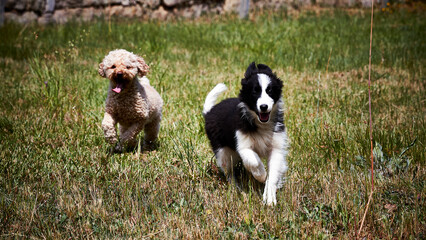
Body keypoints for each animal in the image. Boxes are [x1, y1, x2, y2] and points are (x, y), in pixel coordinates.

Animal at [203, 62, 290, 206]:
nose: (264, 107)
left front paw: (270, 197)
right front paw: (261, 175)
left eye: (270, 90)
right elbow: (253, 161)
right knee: (229, 172)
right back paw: (236, 188)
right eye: (255, 91)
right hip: (223, 152)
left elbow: (273, 173)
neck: (261, 124)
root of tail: (209, 112)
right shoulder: (243, 145)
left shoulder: (276, 148)